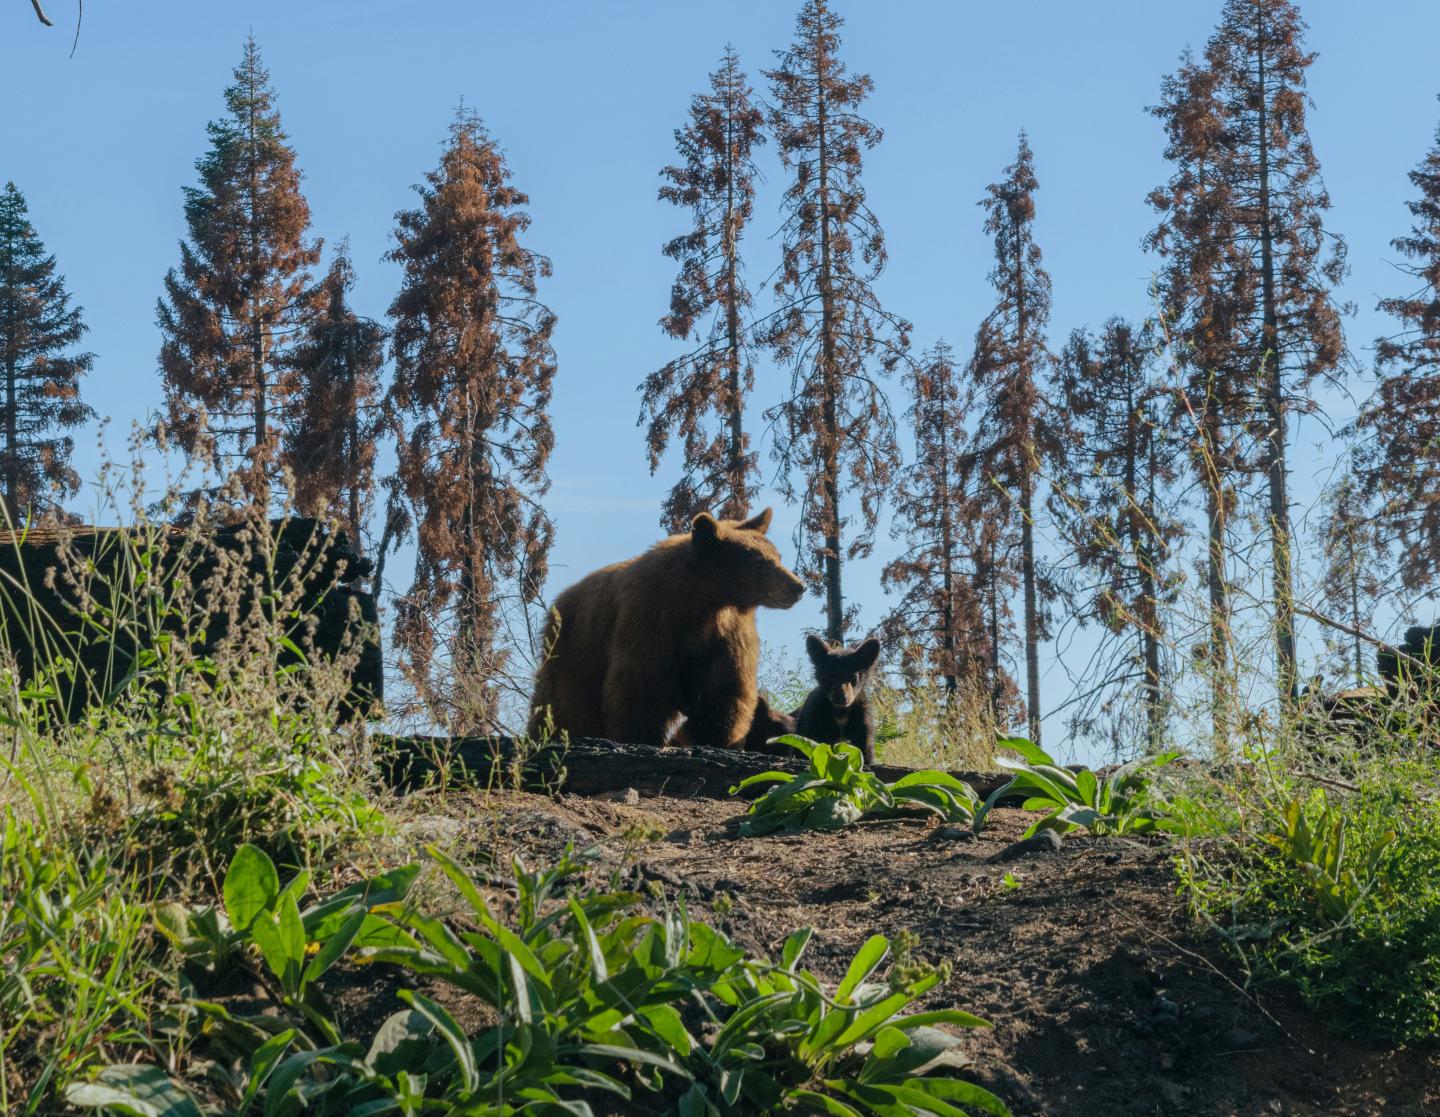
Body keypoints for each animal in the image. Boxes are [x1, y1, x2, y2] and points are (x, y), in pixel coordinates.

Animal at [526, 508, 805, 749]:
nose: (797, 586)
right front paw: (642, 735)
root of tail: (562, 598)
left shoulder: (725, 636)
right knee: (562, 704)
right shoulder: (651, 622)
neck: (703, 603)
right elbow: (640, 684)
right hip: (575, 649)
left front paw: (714, 736)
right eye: (759, 561)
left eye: (777, 556)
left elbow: (723, 690)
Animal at [792, 634, 881, 764]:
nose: (841, 698)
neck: (840, 711)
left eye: (853, 677)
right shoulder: (814, 717)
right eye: (829, 676)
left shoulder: (861, 716)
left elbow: (865, 747)